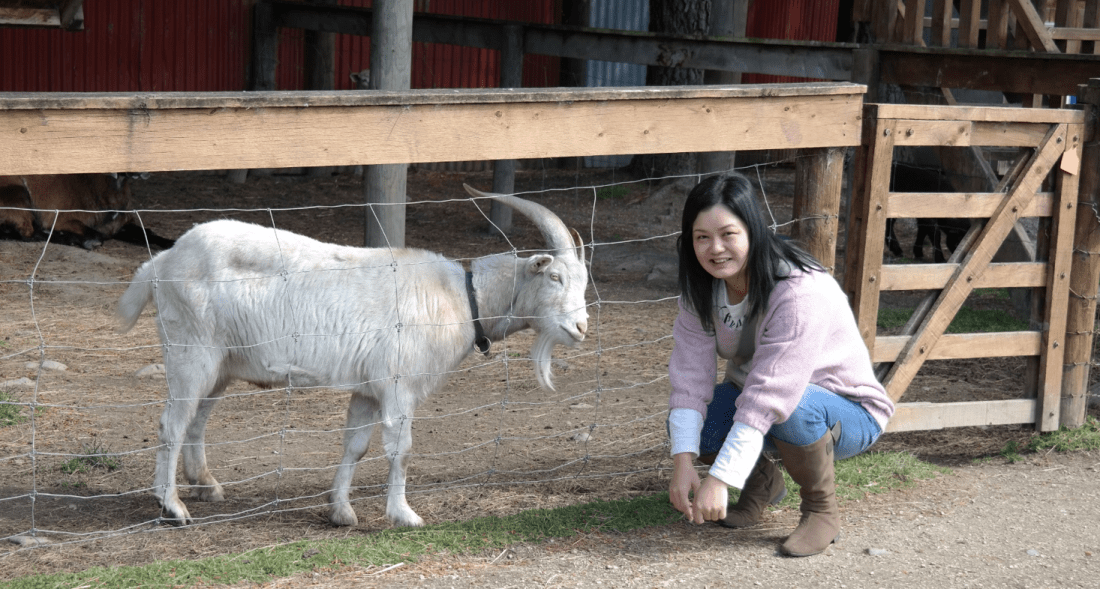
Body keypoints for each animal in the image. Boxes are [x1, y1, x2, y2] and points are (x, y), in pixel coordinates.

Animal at [0, 174, 174, 250]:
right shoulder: (61, 218)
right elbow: (97, 236)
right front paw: (89, 241)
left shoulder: (119, 226)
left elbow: (149, 234)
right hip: (18, 193)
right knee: (27, 233)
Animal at [116, 185, 589, 528]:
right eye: (554, 276)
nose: (581, 327)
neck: (462, 297)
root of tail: (162, 261)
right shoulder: (398, 388)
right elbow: (401, 449)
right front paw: (404, 515)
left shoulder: (368, 390)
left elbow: (356, 446)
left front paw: (340, 511)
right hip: (190, 352)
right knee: (172, 423)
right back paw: (173, 507)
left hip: (222, 365)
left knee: (196, 420)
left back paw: (205, 485)